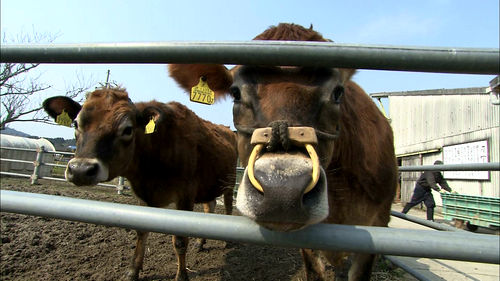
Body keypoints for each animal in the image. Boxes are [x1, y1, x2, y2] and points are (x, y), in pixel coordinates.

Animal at [43, 88, 238, 280]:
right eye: (76, 124)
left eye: (128, 129)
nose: (80, 170)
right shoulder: (143, 197)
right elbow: (141, 230)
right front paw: (133, 270)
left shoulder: (185, 196)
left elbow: (180, 241)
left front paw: (182, 276)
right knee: (209, 207)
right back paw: (201, 242)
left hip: (229, 183)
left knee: (228, 207)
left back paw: (227, 241)